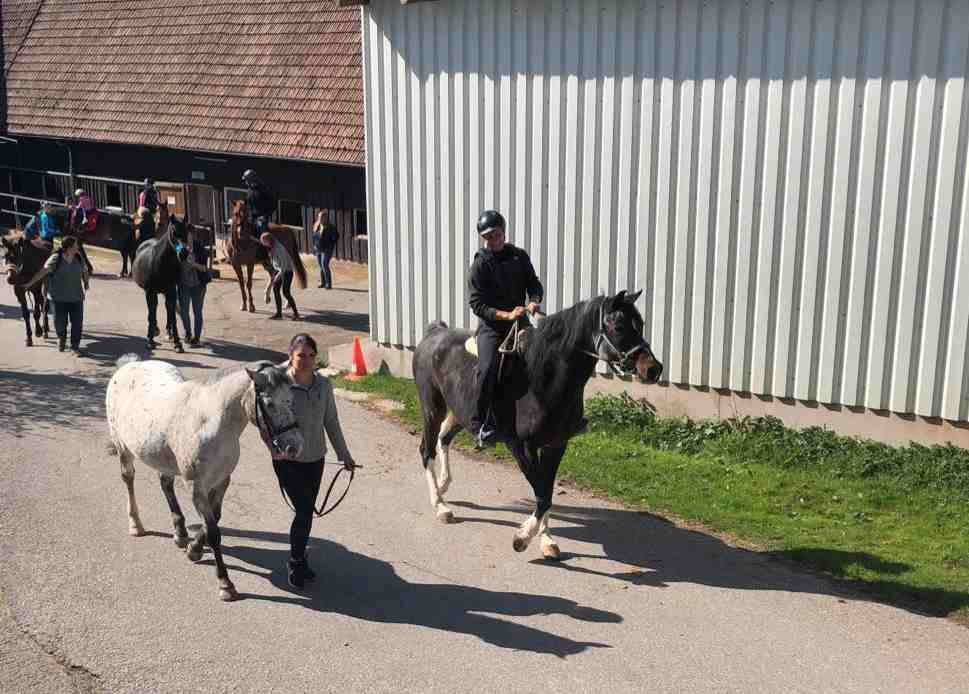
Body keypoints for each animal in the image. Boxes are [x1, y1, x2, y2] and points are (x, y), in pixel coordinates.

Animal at [131, 216, 190, 354]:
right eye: (173, 232)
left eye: (187, 231)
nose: (183, 253)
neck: (161, 263)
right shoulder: (150, 292)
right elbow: (152, 313)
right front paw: (150, 340)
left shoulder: (171, 291)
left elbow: (173, 316)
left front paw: (177, 343)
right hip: (151, 293)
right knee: (152, 309)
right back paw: (154, 330)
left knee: (166, 308)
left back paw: (168, 332)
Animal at [412, 292, 660, 560]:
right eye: (618, 326)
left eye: (640, 324)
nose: (654, 369)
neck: (542, 380)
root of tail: (434, 333)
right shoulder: (521, 446)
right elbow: (541, 493)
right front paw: (522, 538)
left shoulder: (556, 445)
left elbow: (547, 492)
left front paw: (546, 540)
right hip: (432, 409)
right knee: (427, 450)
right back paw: (440, 506)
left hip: (460, 414)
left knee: (444, 439)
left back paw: (443, 486)